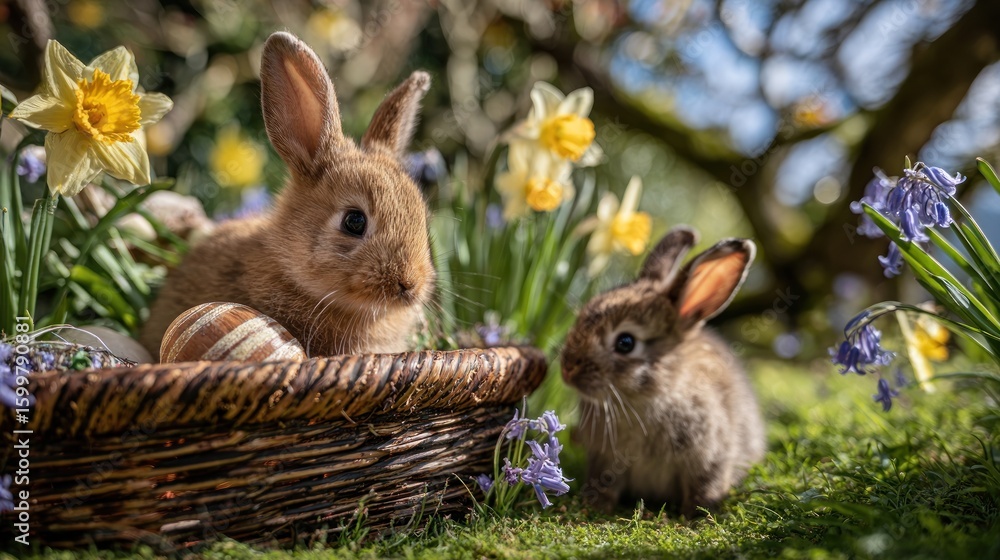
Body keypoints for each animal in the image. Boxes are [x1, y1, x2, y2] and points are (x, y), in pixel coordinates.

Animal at [561, 226, 766, 517]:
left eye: (625, 343)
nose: (567, 369)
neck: (648, 399)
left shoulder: (710, 456)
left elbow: (705, 484)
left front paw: (696, 515)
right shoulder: (605, 459)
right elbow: (604, 481)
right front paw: (595, 504)